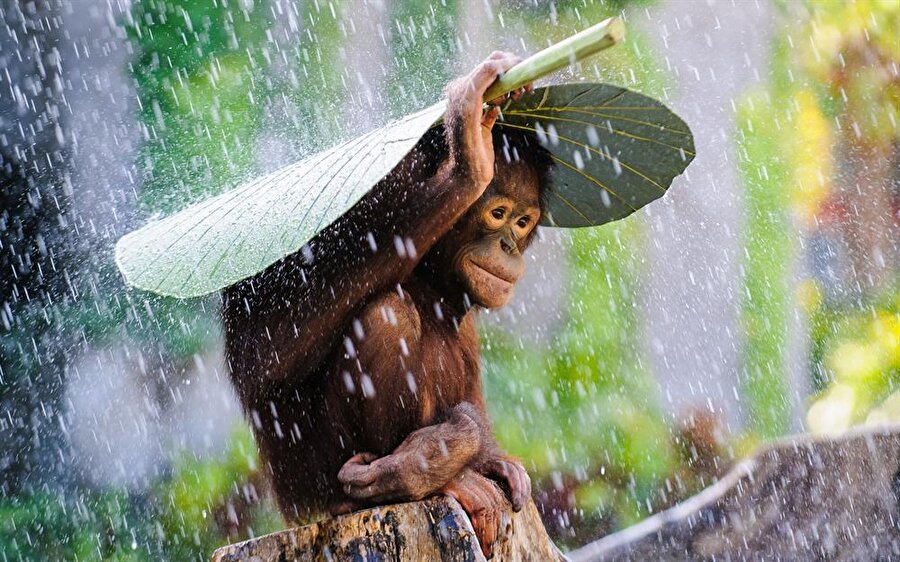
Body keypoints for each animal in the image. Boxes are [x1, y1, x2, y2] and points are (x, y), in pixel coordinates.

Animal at [222, 51, 553, 557]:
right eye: (497, 213)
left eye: (522, 221)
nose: (509, 246)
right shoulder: (370, 194)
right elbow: (262, 351)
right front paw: (467, 157)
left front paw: (488, 457)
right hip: (318, 480)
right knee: (385, 314)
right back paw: (421, 478)